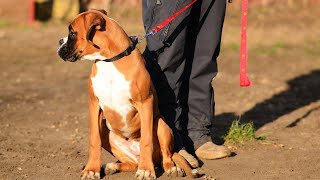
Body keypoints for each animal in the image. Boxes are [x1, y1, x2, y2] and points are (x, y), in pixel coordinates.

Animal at [58, 9, 196, 179]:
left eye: (72, 33)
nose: (59, 41)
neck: (109, 61)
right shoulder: (94, 104)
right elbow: (94, 139)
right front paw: (91, 169)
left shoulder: (145, 103)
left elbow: (146, 140)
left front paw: (146, 170)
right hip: (106, 129)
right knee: (131, 163)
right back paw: (112, 166)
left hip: (161, 125)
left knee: (167, 155)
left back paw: (170, 168)